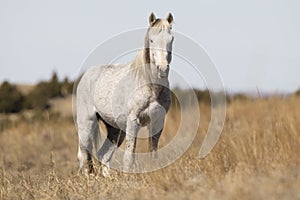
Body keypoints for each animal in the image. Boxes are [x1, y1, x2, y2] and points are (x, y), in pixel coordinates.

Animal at [75, 12, 175, 175]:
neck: (150, 86)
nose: (162, 68)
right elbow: (129, 158)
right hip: (87, 123)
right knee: (85, 156)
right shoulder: (134, 121)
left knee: (103, 155)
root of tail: (85, 76)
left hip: (115, 130)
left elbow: (153, 155)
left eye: (171, 39)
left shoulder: (158, 121)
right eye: (152, 40)